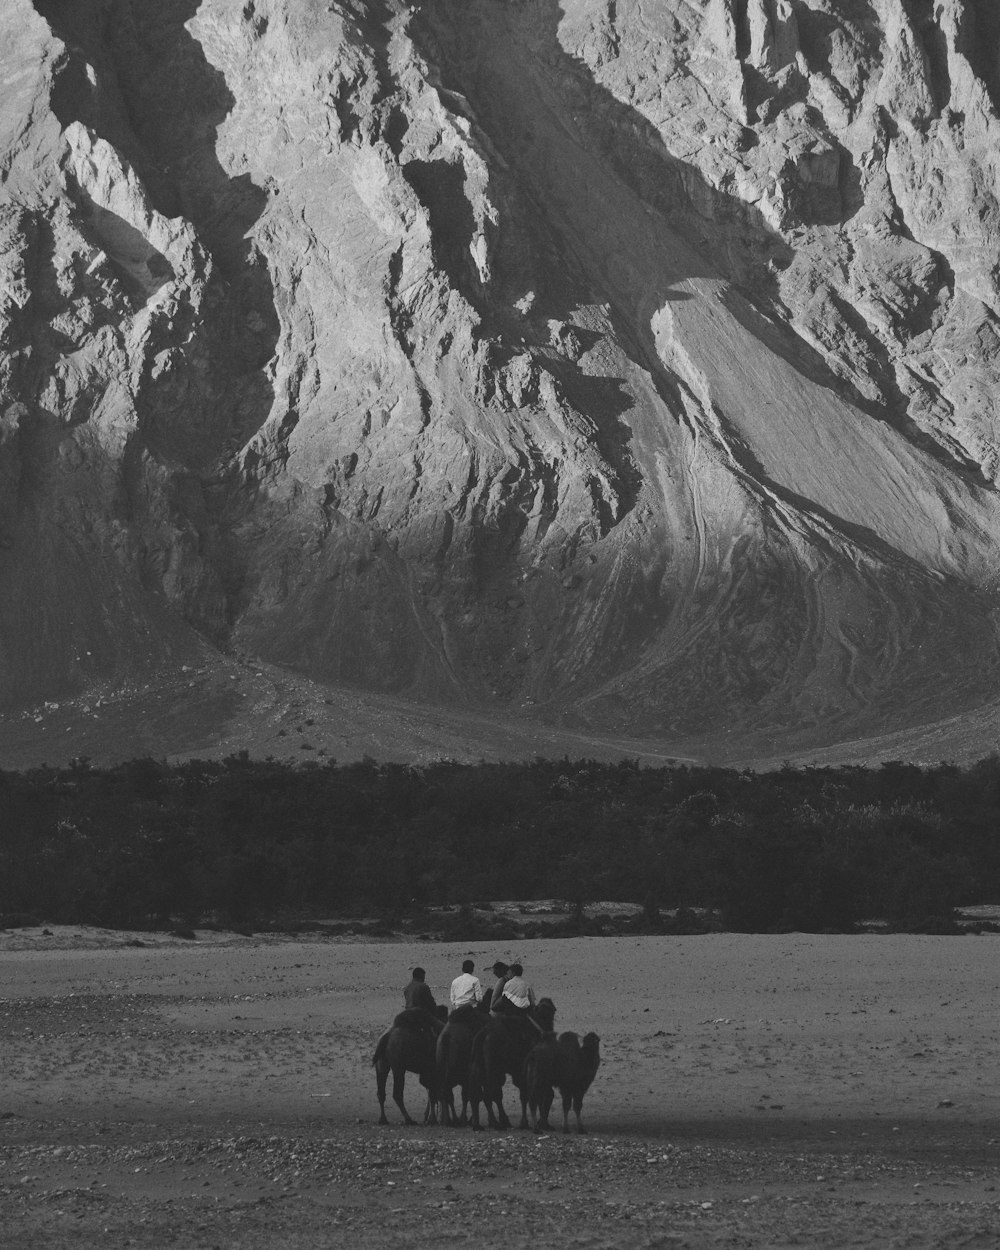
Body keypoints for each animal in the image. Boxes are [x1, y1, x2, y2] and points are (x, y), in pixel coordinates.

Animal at [370, 1000, 445, 1130]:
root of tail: (387, 1035)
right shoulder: (432, 1071)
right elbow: (434, 1094)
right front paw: (433, 1120)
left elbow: (433, 1093)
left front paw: (431, 1119)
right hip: (398, 1067)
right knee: (397, 1094)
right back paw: (409, 1119)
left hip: (382, 1064)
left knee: (381, 1092)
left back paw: (383, 1120)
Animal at [467, 995, 555, 1135]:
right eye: (550, 1012)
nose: (550, 1033)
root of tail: (484, 1034)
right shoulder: (523, 1070)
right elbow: (527, 1094)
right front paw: (526, 1123)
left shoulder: (518, 1071)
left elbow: (524, 1094)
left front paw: (526, 1123)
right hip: (493, 1067)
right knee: (488, 1094)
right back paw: (497, 1124)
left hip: (478, 1065)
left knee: (476, 1092)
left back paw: (478, 1125)